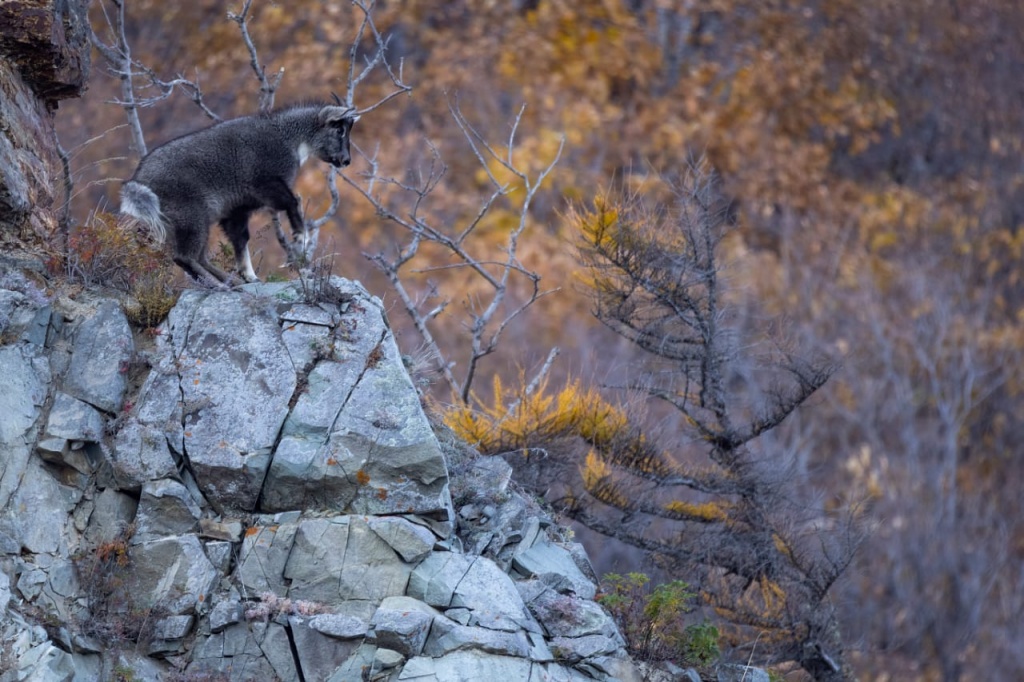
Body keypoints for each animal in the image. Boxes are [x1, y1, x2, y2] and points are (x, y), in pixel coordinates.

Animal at [119, 98, 358, 284]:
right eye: (339, 129)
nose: (346, 160)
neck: (288, 138)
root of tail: (139, 182)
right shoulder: (265, 184)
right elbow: (292, 203)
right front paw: (299, 238)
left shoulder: (237, 210)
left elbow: (241, 240)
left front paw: (250, 276)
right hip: (192, 216)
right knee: (184, 257)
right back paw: (217, 284)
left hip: (187, 221)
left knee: (199, 257)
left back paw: (228, 281)